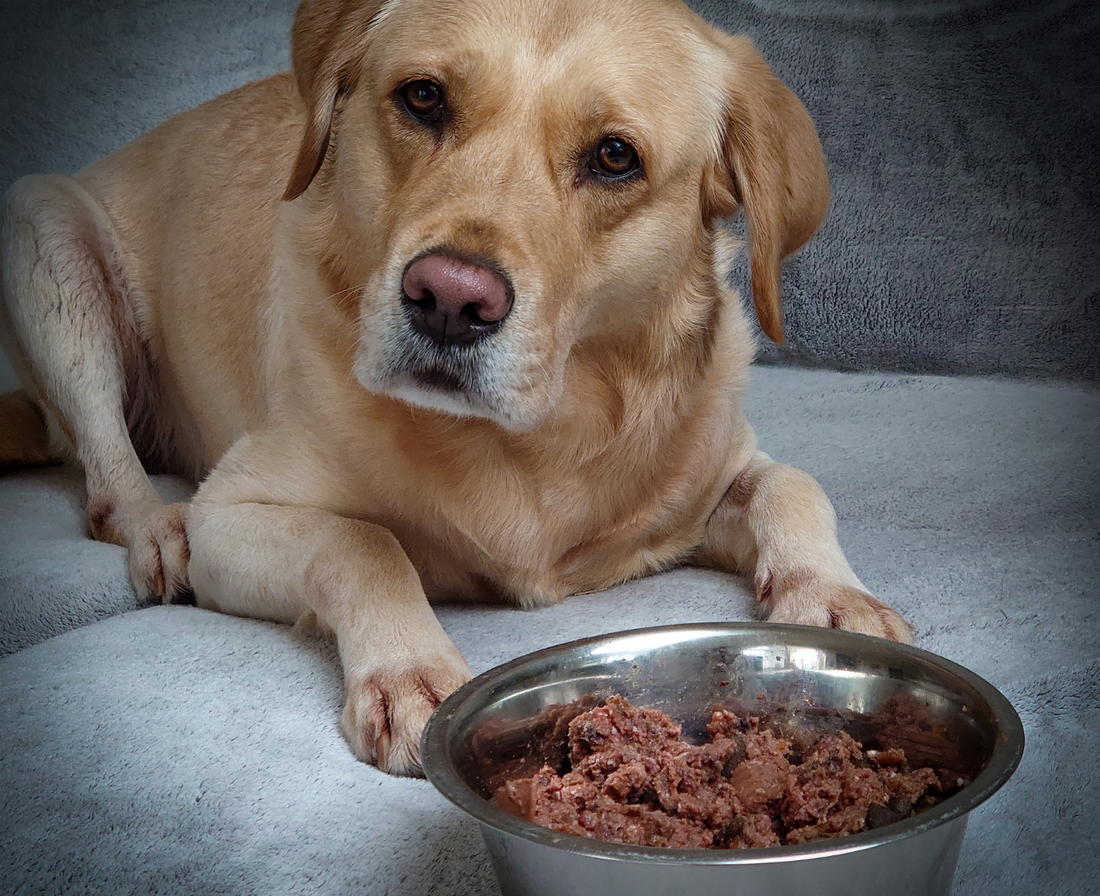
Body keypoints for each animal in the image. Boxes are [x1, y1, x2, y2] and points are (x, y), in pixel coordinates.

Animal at [0, 0, 910, 773]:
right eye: (424, 99)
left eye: (615, 157)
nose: (448, 298)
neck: (534, 436)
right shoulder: (230, 513)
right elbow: (364, 541)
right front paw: (408, 670)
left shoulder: (711, 478)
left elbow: (792, 485)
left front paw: (833, 596)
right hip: (47, 237)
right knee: (108, 472)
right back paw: (155, 526)